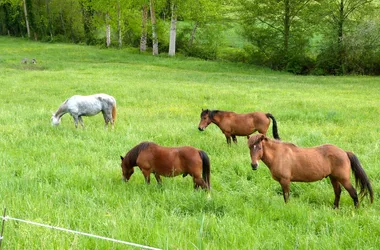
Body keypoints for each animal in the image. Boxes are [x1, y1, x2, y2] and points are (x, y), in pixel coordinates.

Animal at [246, 134, 374, 208]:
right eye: (250, 148)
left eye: (259, 147)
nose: (254, 165)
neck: (278, 154)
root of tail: (344, 152)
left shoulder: (285, 180)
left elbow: (286, 197)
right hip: (333, 178)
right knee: (338, 192)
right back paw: (335, 208)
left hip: (344, 179)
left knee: (353, 193)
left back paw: (356, 210)